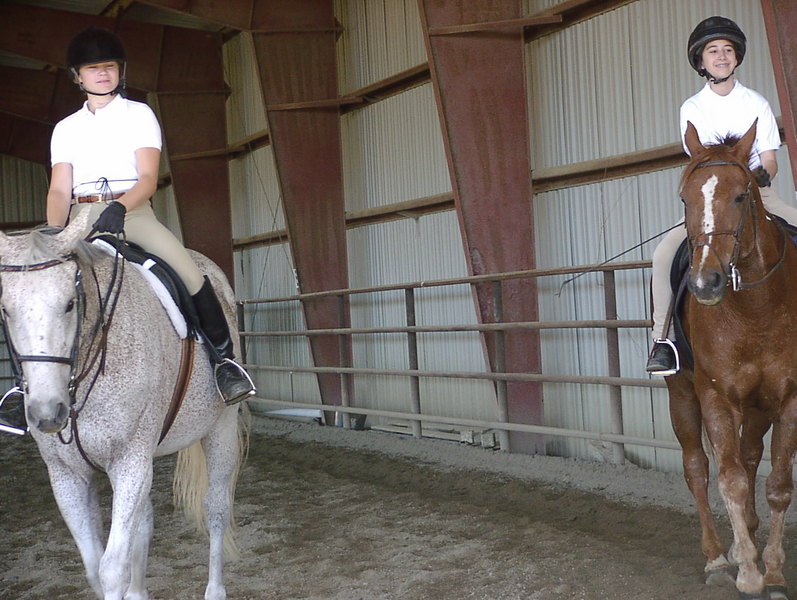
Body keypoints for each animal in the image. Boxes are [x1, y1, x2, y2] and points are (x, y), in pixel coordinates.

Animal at [0, 209, 248, 600]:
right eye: (6, 310)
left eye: (69, 303)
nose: (47, 413)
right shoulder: (67, 475)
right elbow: (93, 567)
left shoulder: (129, 461)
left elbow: (112, 569)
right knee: (144, 523)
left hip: (219, 429)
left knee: (216, 509)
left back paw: (215, 589)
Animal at [665, 119, 797, 600]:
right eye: (685, 198)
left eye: (741, 195)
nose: (706, 283)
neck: (756, 308)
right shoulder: (717, 397)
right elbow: (732, 481)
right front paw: (749, 574)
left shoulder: (789, 398)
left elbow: (777, 485)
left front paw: (772, 572)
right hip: (682, 394)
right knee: (698, 468)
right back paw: (720, 557)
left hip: (758, 406)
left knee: (750, 453)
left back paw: (748, 541)